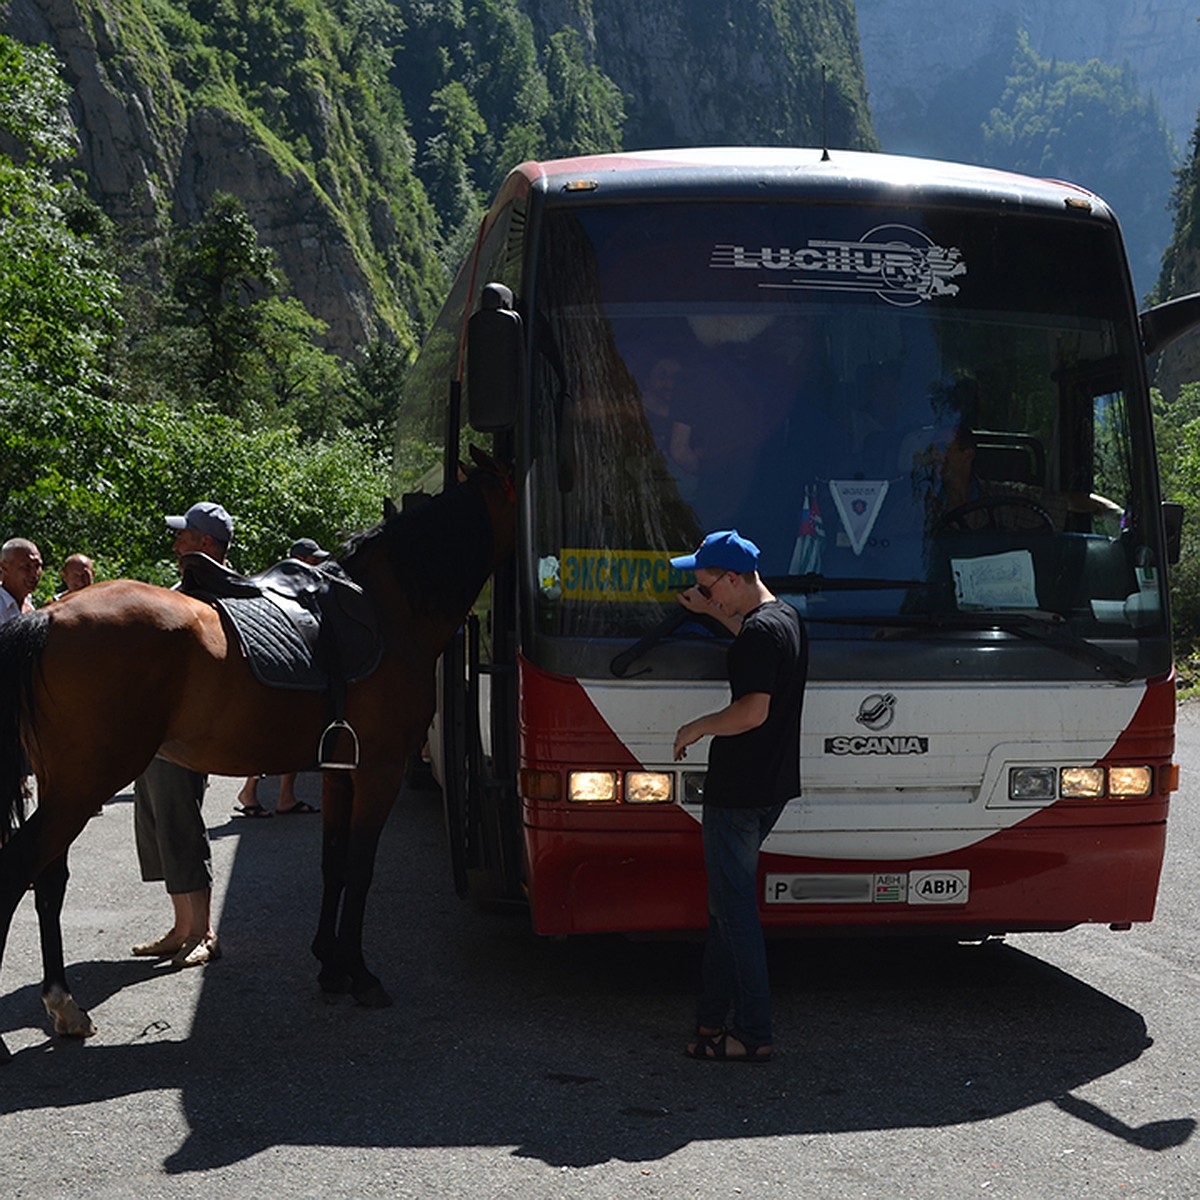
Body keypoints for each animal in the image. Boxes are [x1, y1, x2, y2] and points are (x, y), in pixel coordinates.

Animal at [0, 451, 511, 1060]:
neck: (392, 610)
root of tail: (50, 615)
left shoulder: (340, 772)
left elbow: (333, 862)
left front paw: (329, 966)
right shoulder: (379, 770)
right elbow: (360, 867)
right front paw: (360, 974)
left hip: (64, 786)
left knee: (49, 881)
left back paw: (66, 1006)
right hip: (85, 785)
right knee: (17, 871)